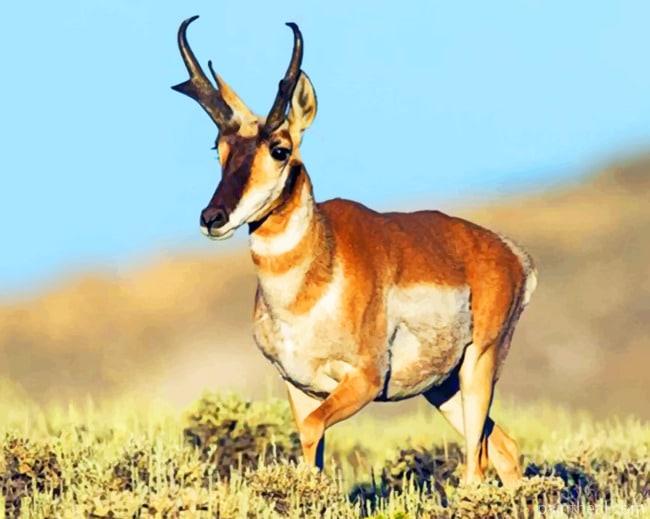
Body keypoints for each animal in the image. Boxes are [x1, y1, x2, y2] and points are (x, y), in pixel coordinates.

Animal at [172, 16, 537, 487]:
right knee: (506, 450)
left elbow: (311, 432)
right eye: (219, 149)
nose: (212, 217)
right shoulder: (299, 387)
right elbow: (309, 446)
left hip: (479, 366)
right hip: (443, 388)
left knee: (477, 464)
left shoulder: (363, 382)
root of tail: (510, 252)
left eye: (280, 149)